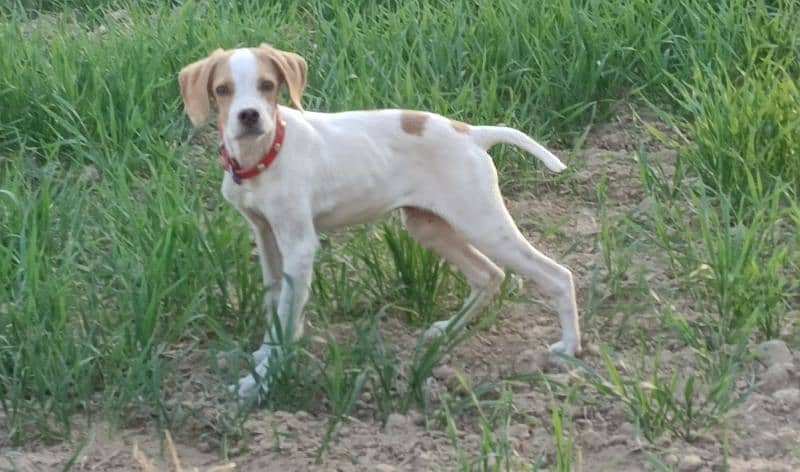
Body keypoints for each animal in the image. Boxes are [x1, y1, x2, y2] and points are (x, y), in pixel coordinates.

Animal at [180, 44, 580, 398]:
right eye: (222, 89)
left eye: (267, 85)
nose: (249, 116)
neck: (266, 152)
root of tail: (471, 133)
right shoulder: (266, 236)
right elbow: (275, 306)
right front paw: (265, 356)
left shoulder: (299, 246)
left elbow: (287, 314)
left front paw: (260, 382)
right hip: (427, 225)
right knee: (488, 274)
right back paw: (446, 332)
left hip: (481, 222)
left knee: (557, 275)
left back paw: (568, 350)